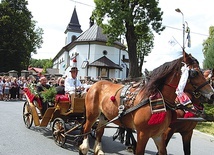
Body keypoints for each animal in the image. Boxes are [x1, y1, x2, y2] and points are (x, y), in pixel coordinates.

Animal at [78, 52, 214, 155]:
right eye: (195, 73)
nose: (212, 94)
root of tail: (95, 84)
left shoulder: (160, 134)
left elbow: (164, 151)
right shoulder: (144, 134)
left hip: (104, 116)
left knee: (99, 131)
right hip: (92, 115)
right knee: (86, 129)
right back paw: (83, 147)